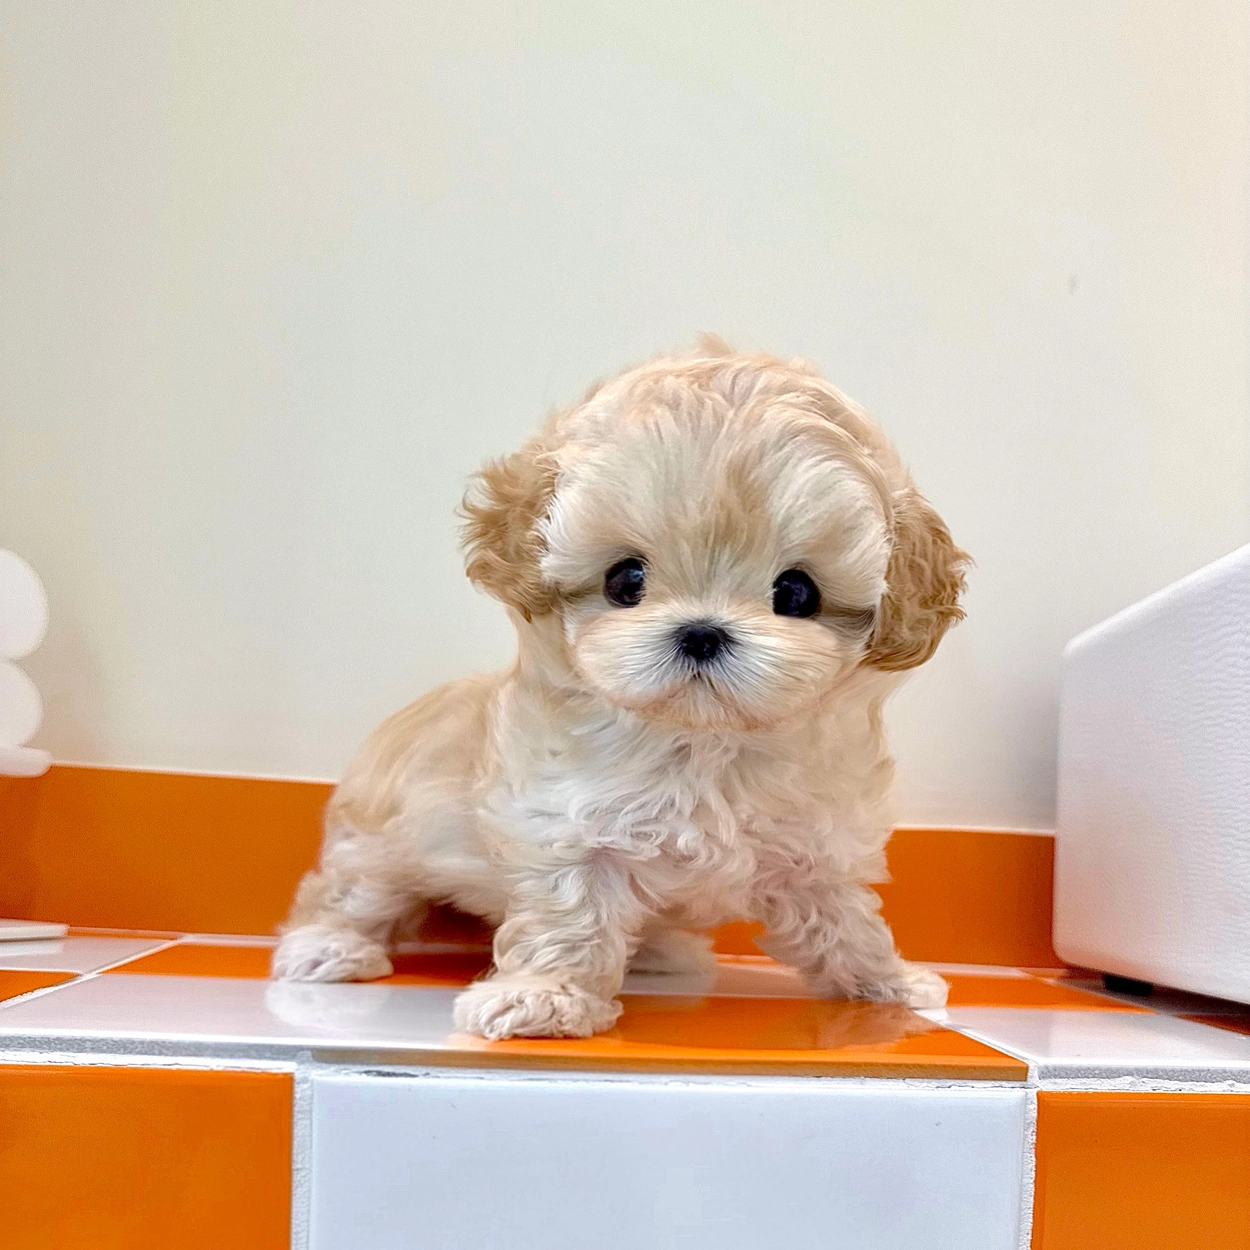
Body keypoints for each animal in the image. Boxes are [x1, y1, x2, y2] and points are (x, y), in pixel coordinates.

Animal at [272, 341, 968, 1040]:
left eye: (797, 593)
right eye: (625, 581)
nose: (702, 633)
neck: (702, 744)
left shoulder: (814, 852)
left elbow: (846, 923)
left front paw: (889, 985)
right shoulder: (569, 829)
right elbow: (571, 918)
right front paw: (545, 997)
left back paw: (663, 954)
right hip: (382, 835)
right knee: (352, 892)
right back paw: (326, 948)